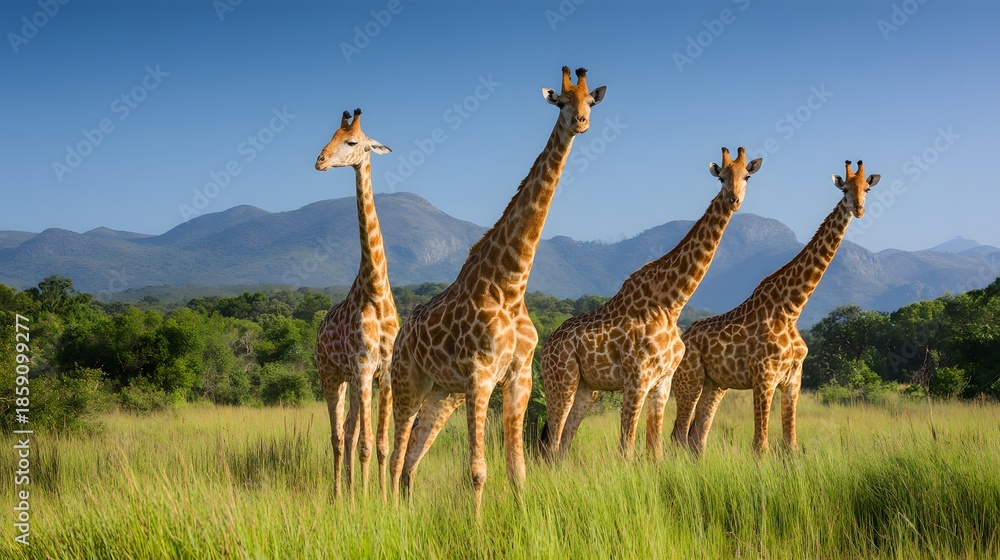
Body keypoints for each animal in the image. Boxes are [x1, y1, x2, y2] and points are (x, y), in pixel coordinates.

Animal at [387, 67, 606, 515]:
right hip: (408, 381)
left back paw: (410, 507)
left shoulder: (518, 376)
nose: (580, 123)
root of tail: (402, 334)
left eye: (590, 101)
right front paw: (476, 525)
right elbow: (477, 470)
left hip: (442, 394)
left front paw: (523, 519)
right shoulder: (480, 375)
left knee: (413, 455)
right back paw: (394, 512)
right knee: (397, 452)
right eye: (561, 101)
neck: (511, 283)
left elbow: (517, 469)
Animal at [540, 147, 763, 461]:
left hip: (587, 388)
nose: (734, 201)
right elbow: (626, 449)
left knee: (562, 444)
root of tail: (546, 347)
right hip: (561, 381)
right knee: (551, 443)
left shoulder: (663, 383)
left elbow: (655, 448)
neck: (671, 303)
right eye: (721, 178)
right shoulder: (637, 379)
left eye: (747, 177)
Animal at [671, 160, 880, 454]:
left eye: (867, 189)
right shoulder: (764, 377)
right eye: (844, 190)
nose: (859, 209)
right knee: (678, 436)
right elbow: (760, 445)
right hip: (688, 380)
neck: (791, 308)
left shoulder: (794, 379)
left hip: (715, 385)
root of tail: (684, 336)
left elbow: (790, 444)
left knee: (697, 439)